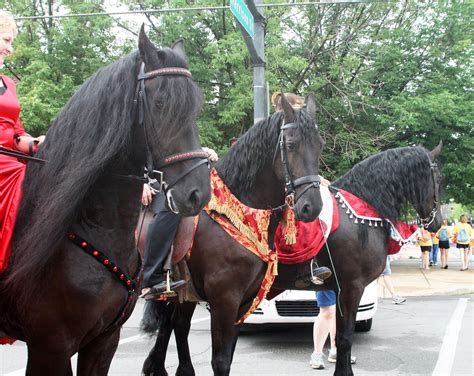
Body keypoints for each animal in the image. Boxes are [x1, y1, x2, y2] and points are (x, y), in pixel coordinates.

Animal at [141, 92, 326, 374]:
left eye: (320, 145)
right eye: (292, 145)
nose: (311, 206)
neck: (239, 213)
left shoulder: (243, 301)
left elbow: (227, 356)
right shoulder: (224, 300)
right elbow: (219, 360)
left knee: (175, 326)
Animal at [142, 142, 444, 374]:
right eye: (438, 179)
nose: (437, 222)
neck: (361, 214)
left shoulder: (340, 290)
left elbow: (339, 337)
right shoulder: (352, 287)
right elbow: (345, 339)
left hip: (187, 290)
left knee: (174, 326)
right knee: (177, 326)